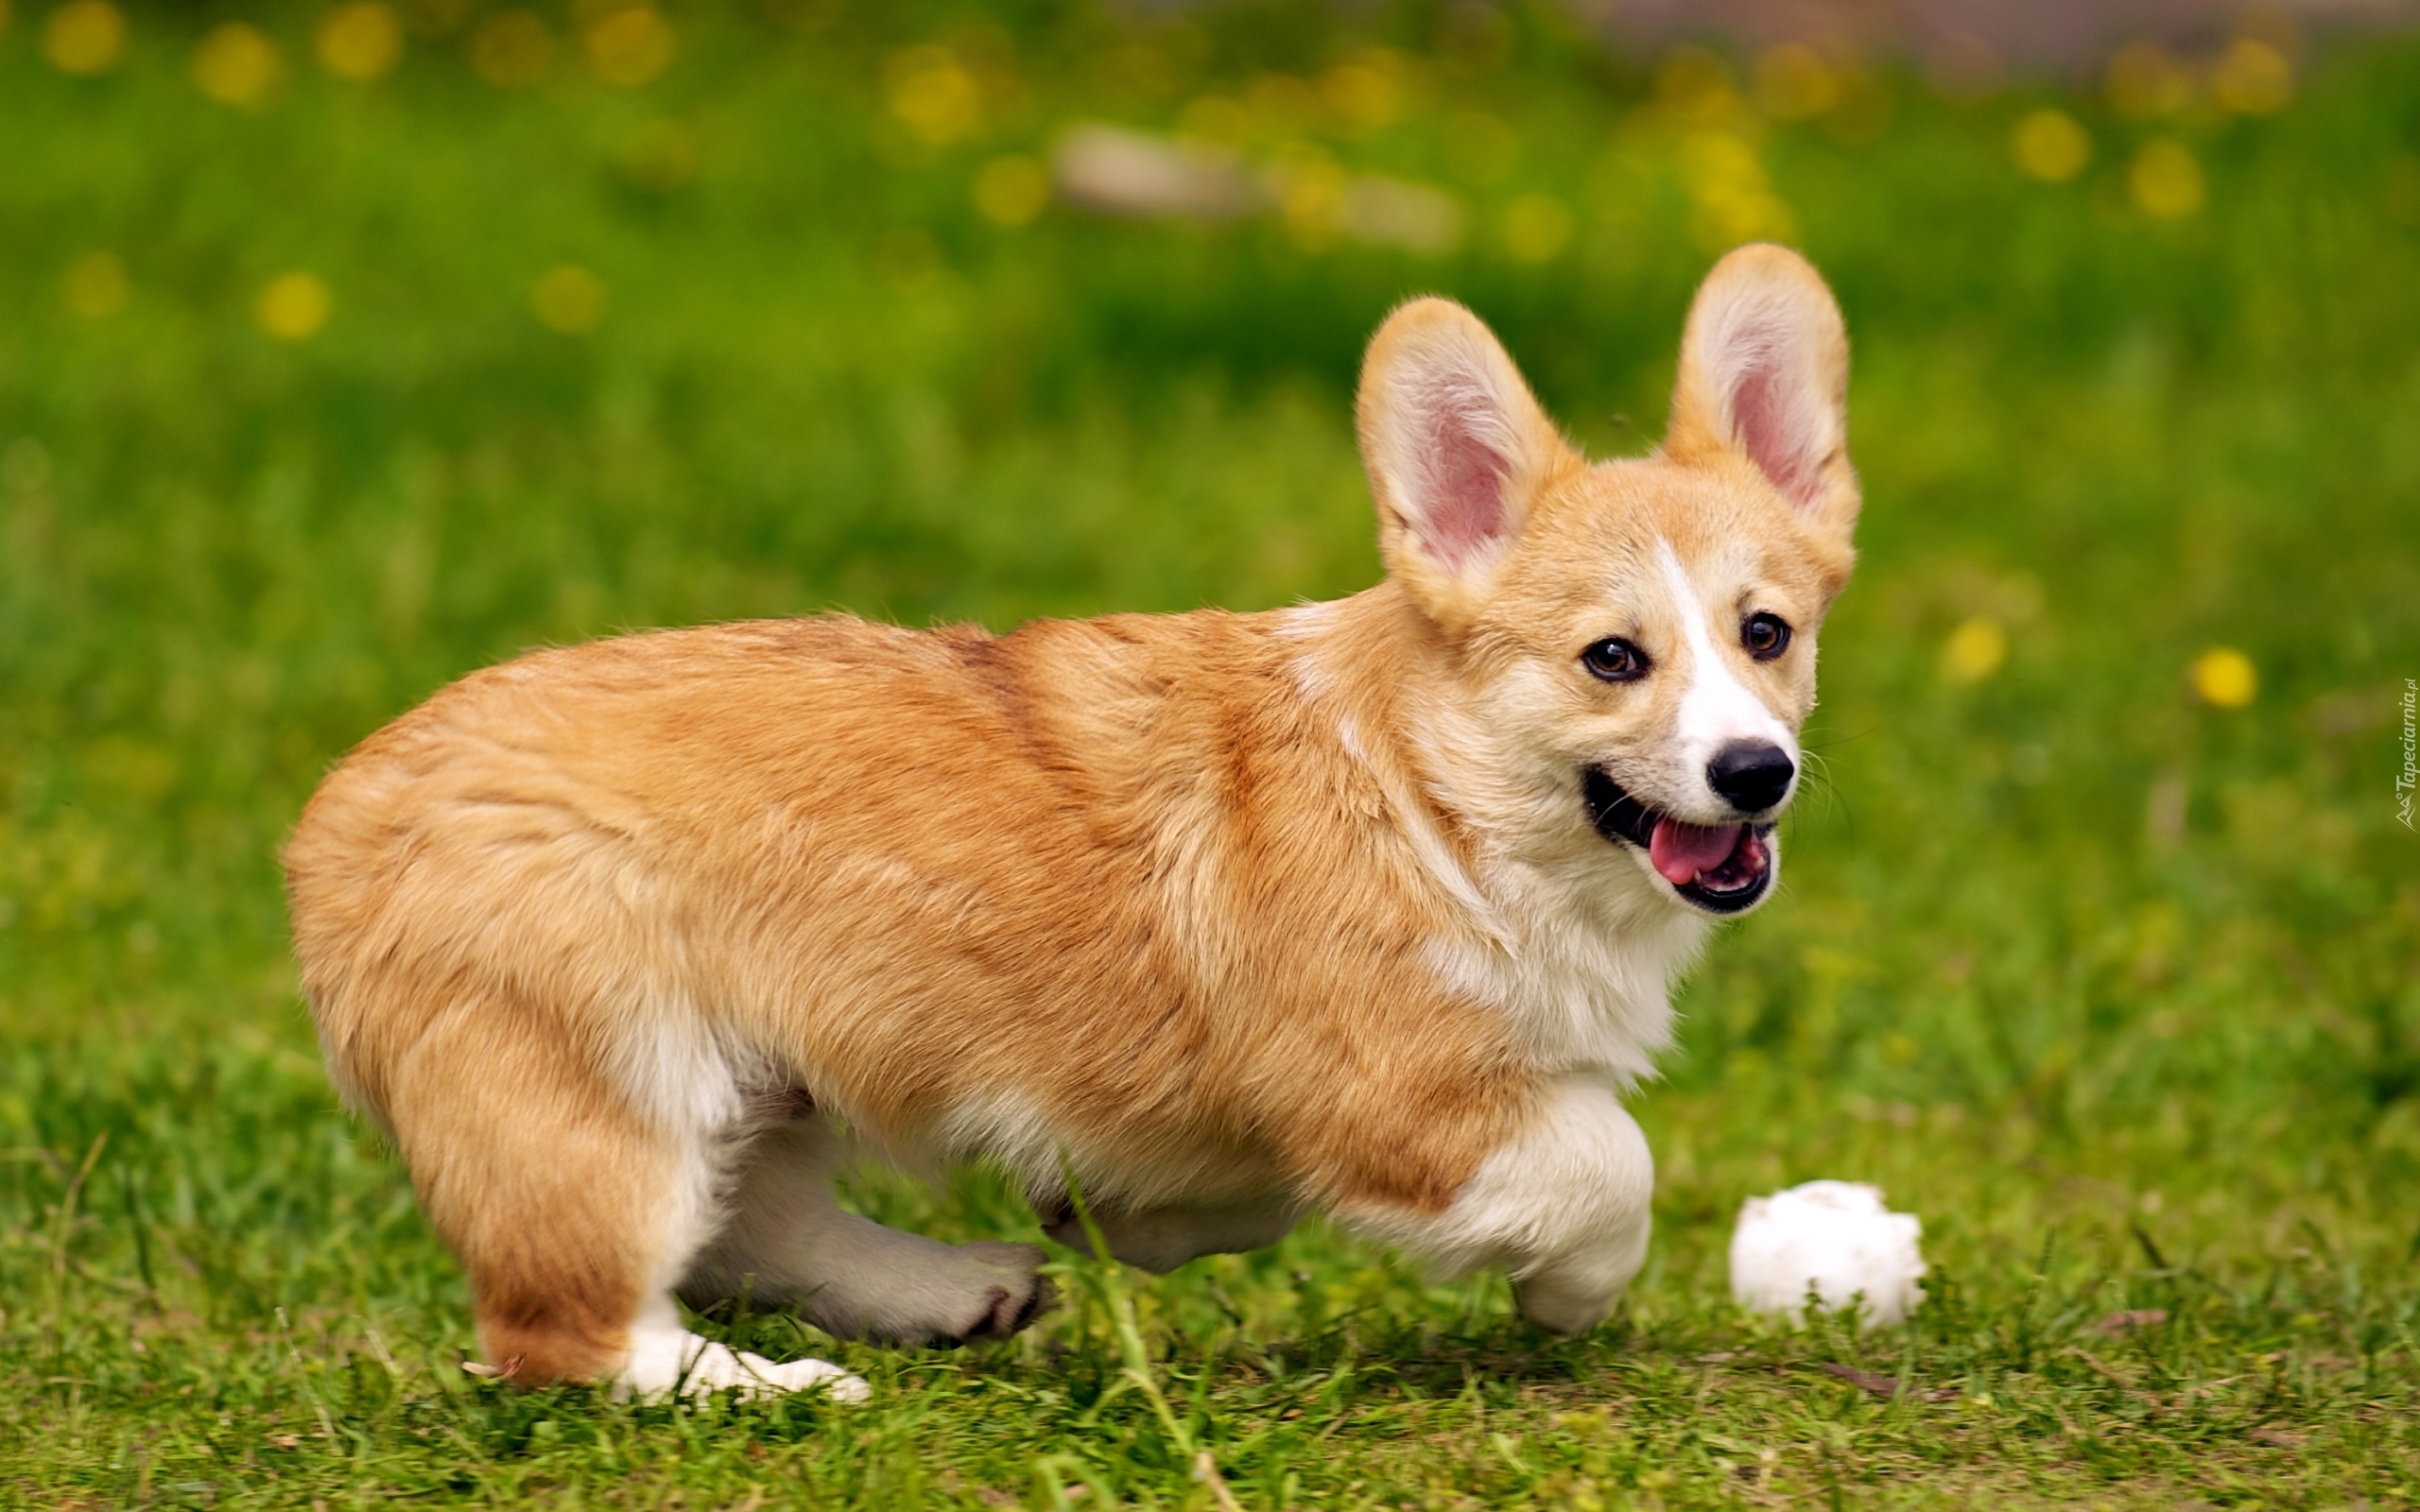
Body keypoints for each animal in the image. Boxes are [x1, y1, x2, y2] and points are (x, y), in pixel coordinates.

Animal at [292, 244, 1858, 1393]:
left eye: (1766, 634)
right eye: (1614, 660)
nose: (1754, 773)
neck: (1448, 795)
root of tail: (331, 823)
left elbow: (1234, 1190)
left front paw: (1121, 1217)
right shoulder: (1413, 1103)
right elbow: (1610, 1165)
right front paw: (1571, 1295)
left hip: (758, 1078)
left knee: (752, 1223)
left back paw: (948, 1291)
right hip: (606, 1085)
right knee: (563, 1332)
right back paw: (776, 1390)